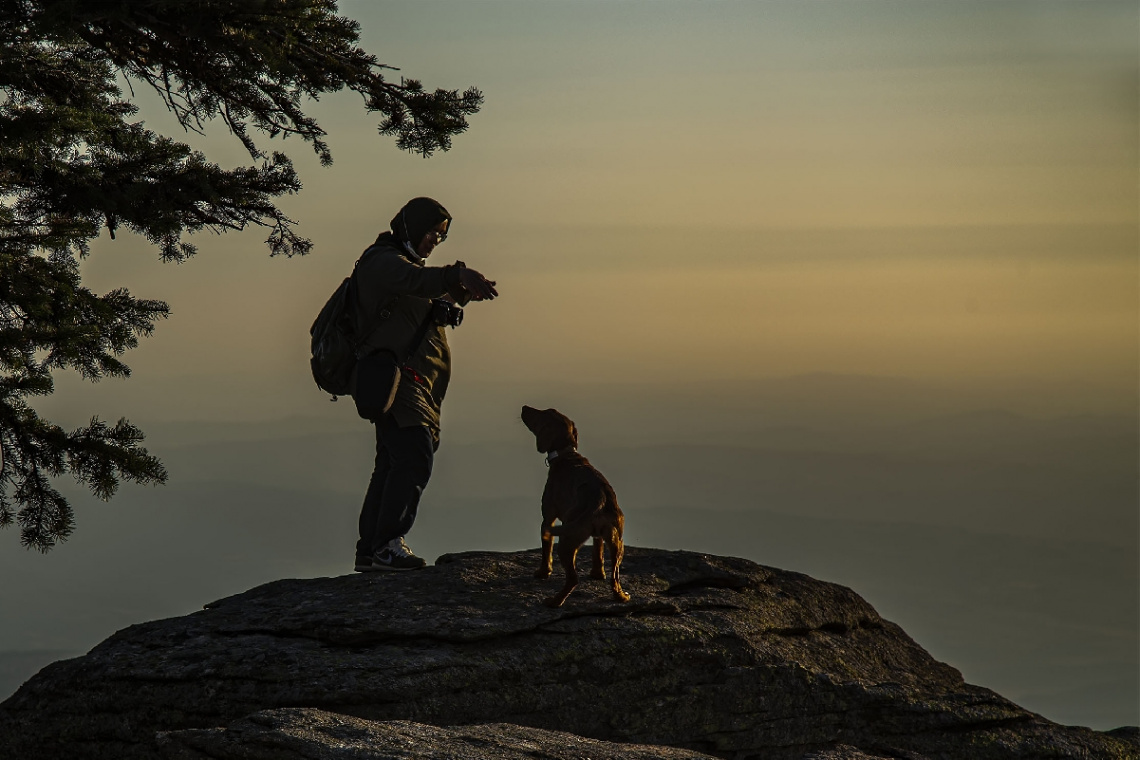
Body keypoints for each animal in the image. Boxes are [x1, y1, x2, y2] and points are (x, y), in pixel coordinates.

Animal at [519, 407, 629, 610]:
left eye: (542, 413)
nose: (524, 407)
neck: (565, 454)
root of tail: (600, 500)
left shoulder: (548, 518)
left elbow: (546, 549)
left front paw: (543, 572)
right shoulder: (599, 536)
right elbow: (597, 550)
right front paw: (597, 573)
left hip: (566, 541)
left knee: (572, 579)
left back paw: (554, 601)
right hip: (618, 542)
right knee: (615, 577)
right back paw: (621, 596)